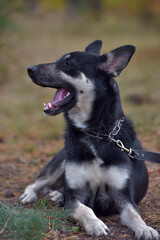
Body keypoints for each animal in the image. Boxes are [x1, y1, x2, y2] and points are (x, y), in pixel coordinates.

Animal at [19, 40, 159, 239]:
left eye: (69, 63)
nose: (30, 69)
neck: (96, 133)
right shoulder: (76, 197)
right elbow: (85, 209)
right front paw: (95, 224)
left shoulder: (123, 197)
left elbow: (134, 214)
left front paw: (145, 228)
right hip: (61, 162)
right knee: (38, 182)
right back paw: (30, 195)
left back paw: (57, 195)